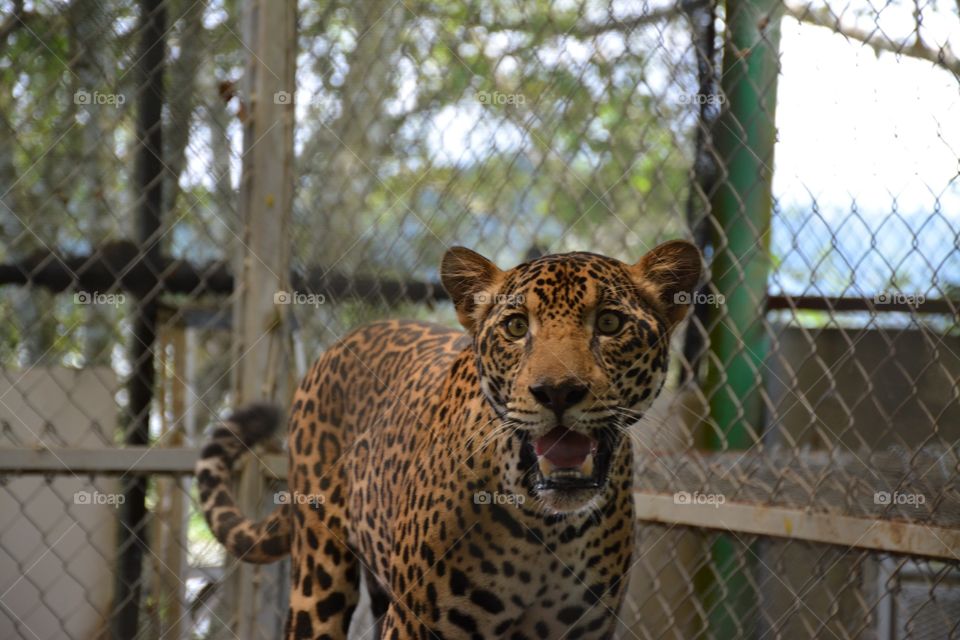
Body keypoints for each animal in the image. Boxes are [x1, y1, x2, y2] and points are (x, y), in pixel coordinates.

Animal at [196, 240, 701, 639]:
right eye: (517, 327)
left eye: (610, 323)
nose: (557, 391)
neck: (548, 527)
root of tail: (343, 342)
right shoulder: (415, 624)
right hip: (319, 576)